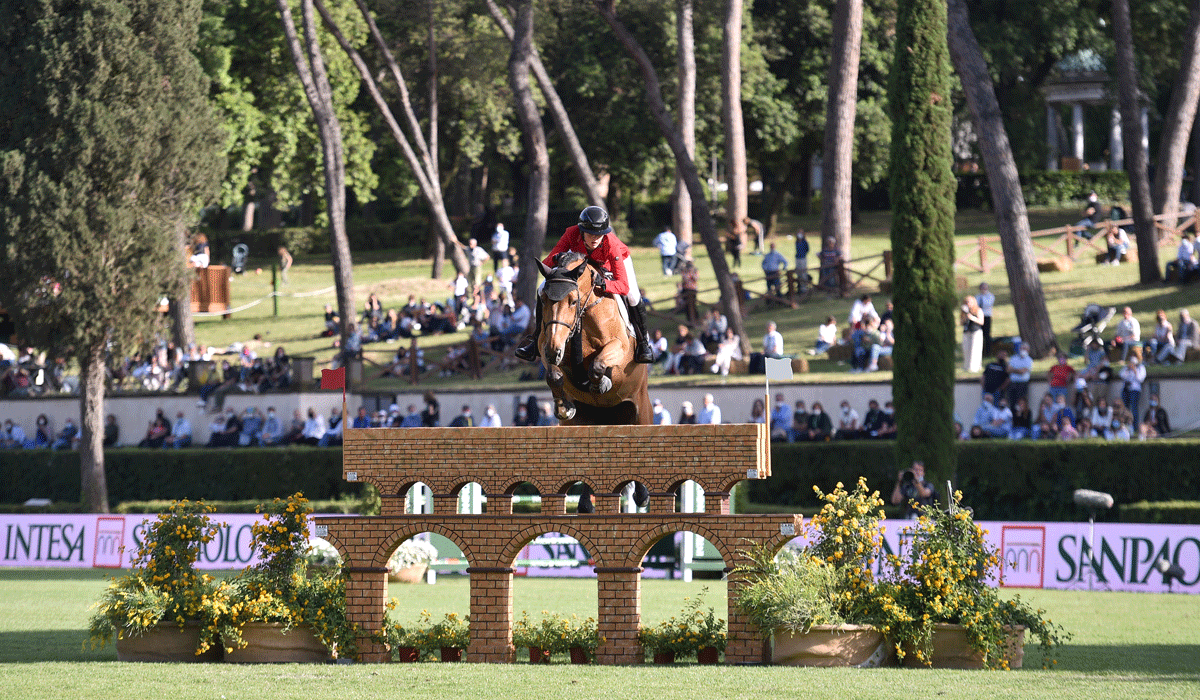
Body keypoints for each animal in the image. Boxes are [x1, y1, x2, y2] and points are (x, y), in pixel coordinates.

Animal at [535, 253, 652, 427]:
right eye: (542, 300)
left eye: (573, 301)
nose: (554, 351)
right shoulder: (545, 345)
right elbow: (553, 375)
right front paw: (563, 409)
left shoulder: (619, 346)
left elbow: (596, 366)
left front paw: (602, 384)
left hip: (642, 411)